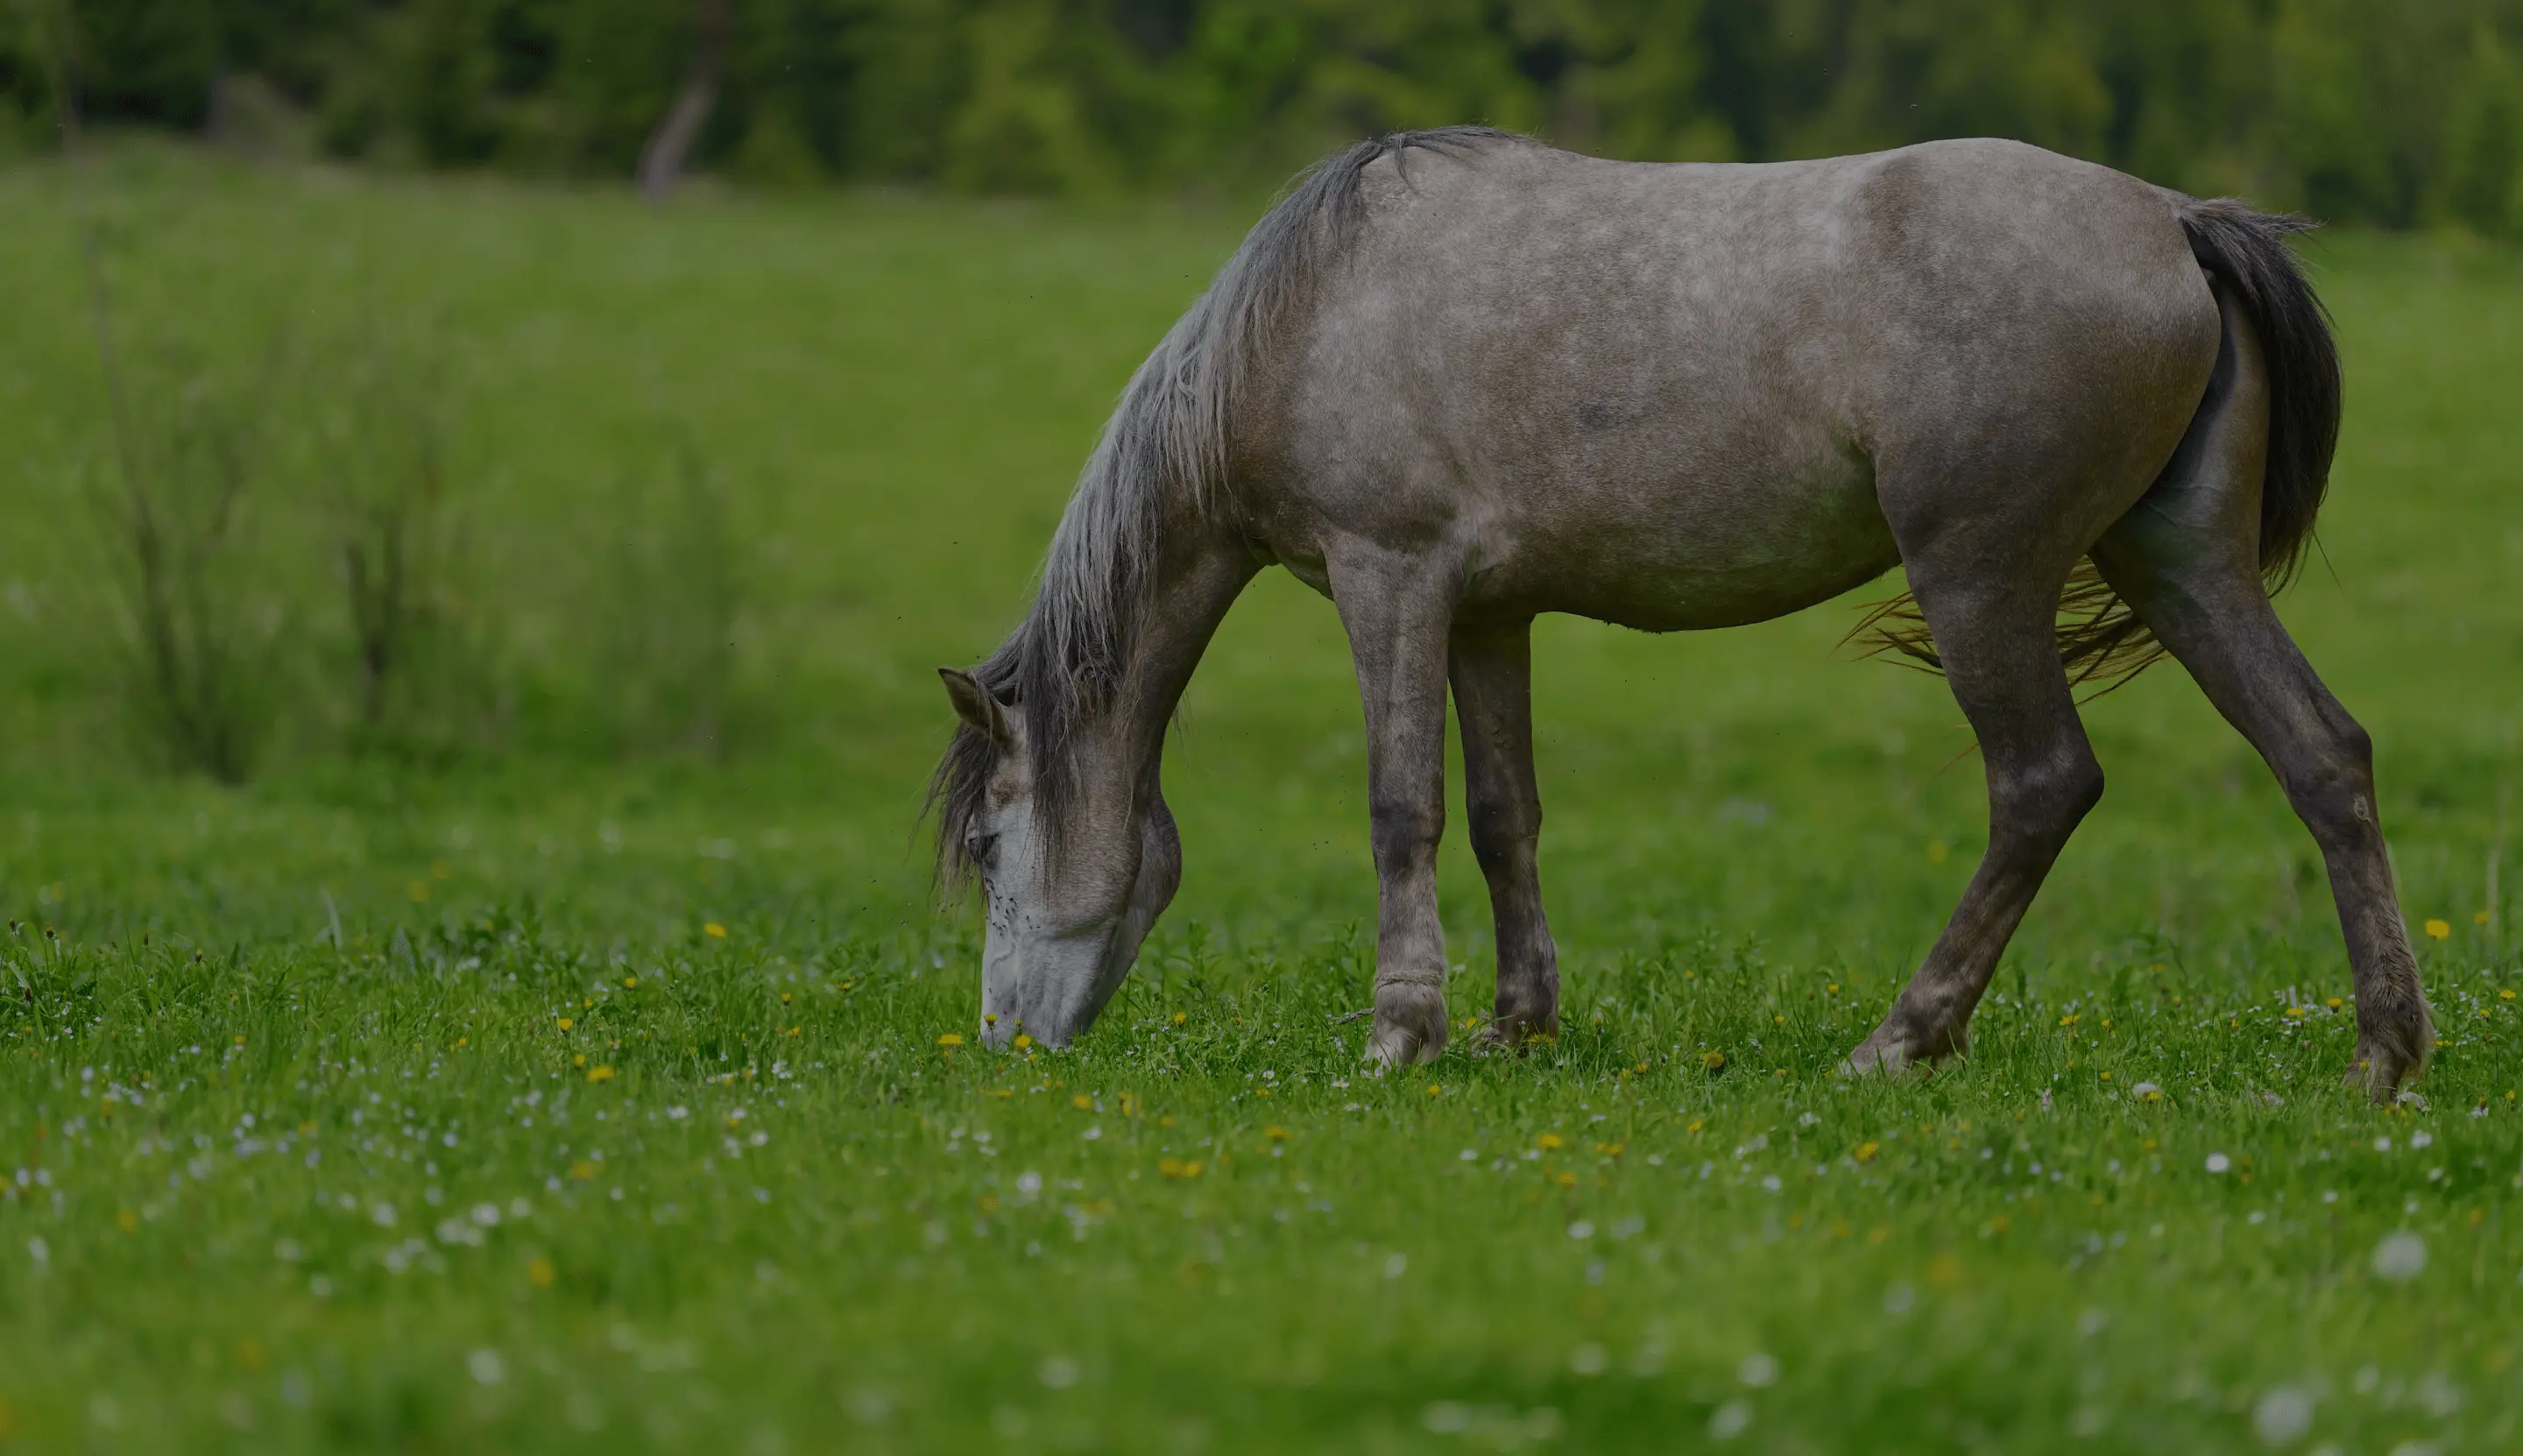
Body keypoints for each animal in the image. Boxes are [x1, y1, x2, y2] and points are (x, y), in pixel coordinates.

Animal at [929, 127, 2434, 1099]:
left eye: (995, 851)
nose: (1003, 1042)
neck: (1305, 320)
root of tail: (2178, 221)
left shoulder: (1389, 580)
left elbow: (1402, 806)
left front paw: (1401, 1032)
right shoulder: (1490, 615)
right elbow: (1504, 814)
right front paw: (1514, 1026)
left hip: (1981, 578)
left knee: (2042, 785)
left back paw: (1900, 1040)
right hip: (2181, 566)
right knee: (2324, 756)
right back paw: (2383, 1053)